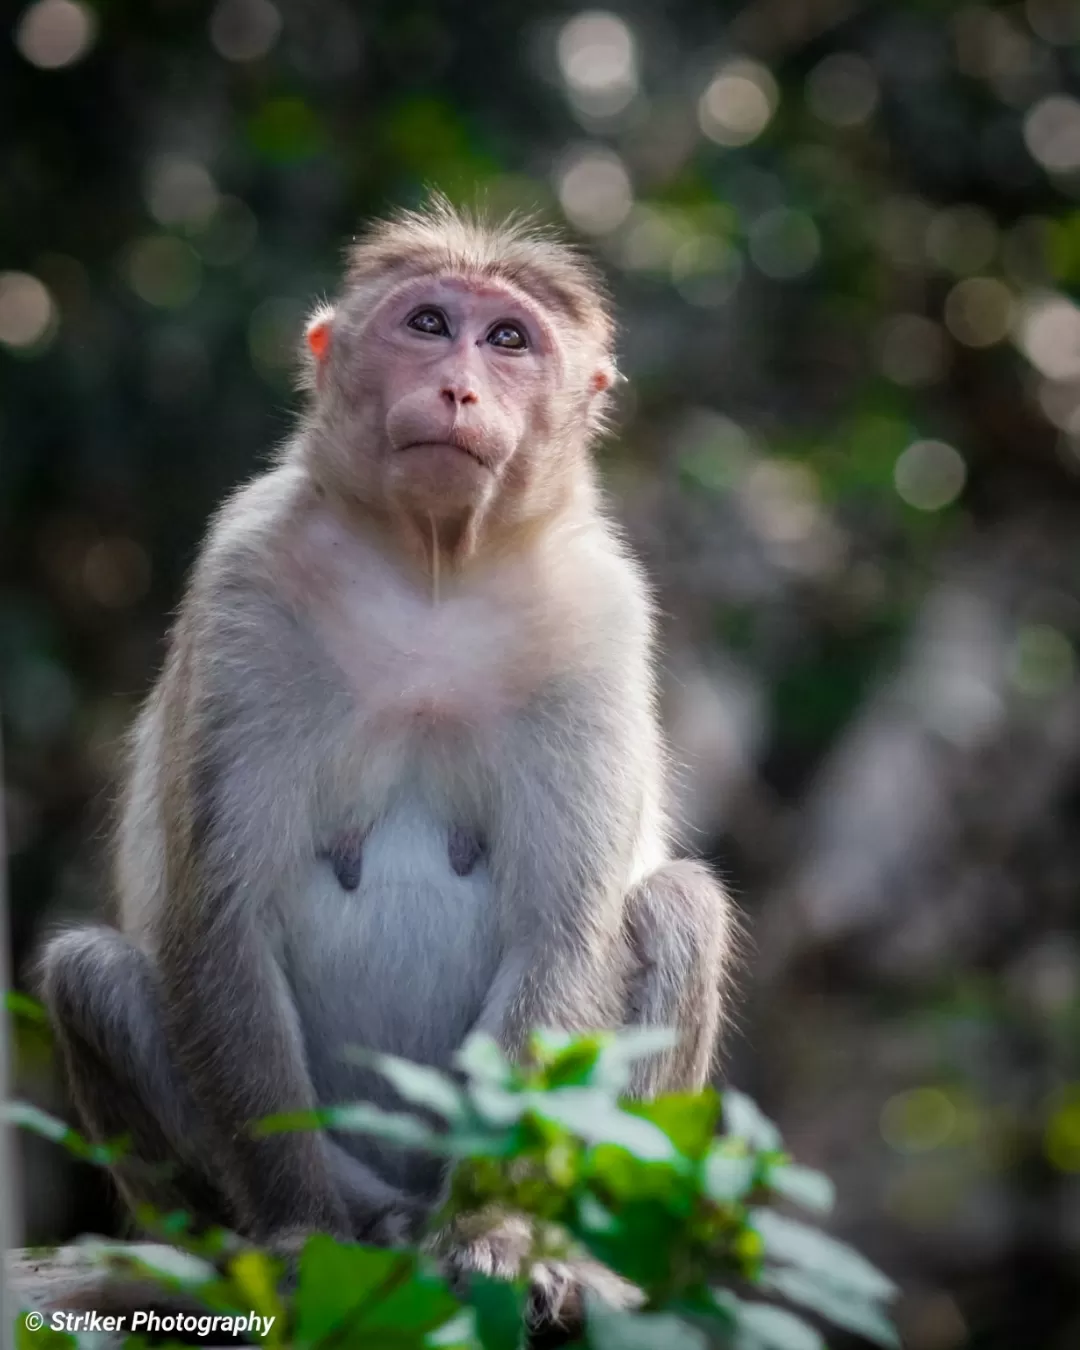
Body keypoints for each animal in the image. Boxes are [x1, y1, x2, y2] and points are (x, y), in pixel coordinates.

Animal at [35, 195, 745, 1333]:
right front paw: (299, 1238)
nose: (458, 386)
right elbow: (220, 919)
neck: (432, 568)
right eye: (428, 323)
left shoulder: (600, 618)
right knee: (89, 975)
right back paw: (352, 1223)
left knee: (681, 905)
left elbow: (562, 932)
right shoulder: (244, 582)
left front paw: (496, 1233)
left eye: (508, 341)